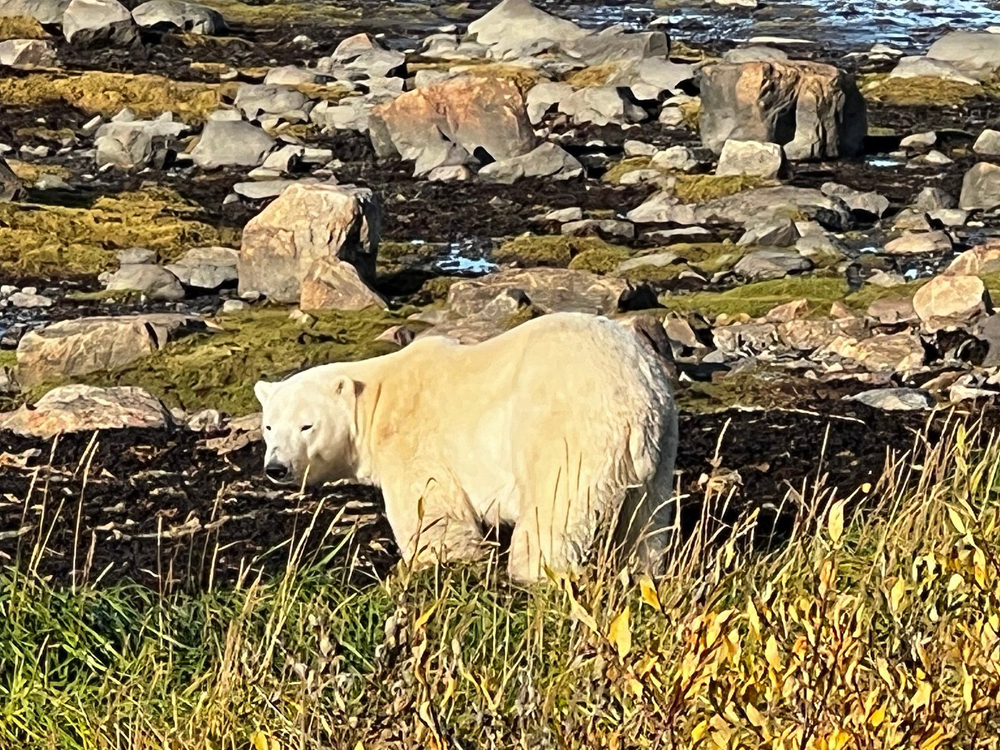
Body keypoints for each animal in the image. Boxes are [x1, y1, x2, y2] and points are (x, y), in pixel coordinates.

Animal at [254, 311, 678, 584]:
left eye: (306, 425)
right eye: (269, 425)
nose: (277, 467)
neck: (378, 395)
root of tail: (638, 397)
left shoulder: (414, 440)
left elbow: (433, 516)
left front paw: (423, 569)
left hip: (564, 428)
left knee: (554, 508)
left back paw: (531, 572)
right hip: (661, 449)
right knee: (646, 522)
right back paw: (642, 570)